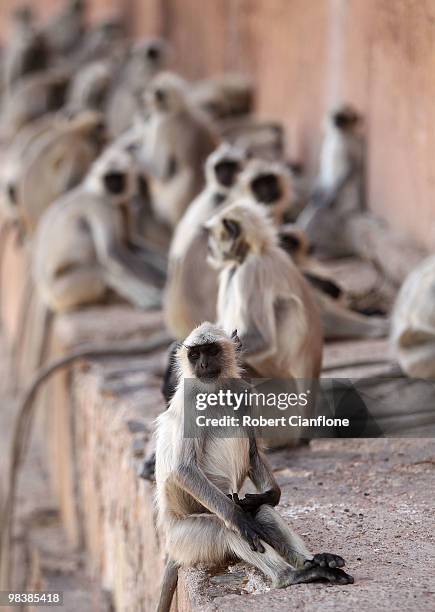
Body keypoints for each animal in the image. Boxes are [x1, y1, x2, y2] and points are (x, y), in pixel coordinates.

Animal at [156, 322, 354, 608]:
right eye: (194, 355)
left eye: (211, 351)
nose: (202, 364)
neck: (215, 390)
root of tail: (172, 545)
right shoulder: (189, 400)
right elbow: (183, 469)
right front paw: (239, 518)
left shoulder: (244, 391)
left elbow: (252, 454)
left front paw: (269, 495)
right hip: (185, 538)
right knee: (225, 527)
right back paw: (290, 575)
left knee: (261, 511)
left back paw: (314, 562)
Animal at [298, 104, 366, 256]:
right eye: (335, 115)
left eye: (343, 118)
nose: (337, 122)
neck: (339, 135)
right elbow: (323, 174)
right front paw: (315, 193)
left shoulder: (352, 144)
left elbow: (352, 168)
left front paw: (330, 196)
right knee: (314, 206)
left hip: (345, 203)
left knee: (320, 212)